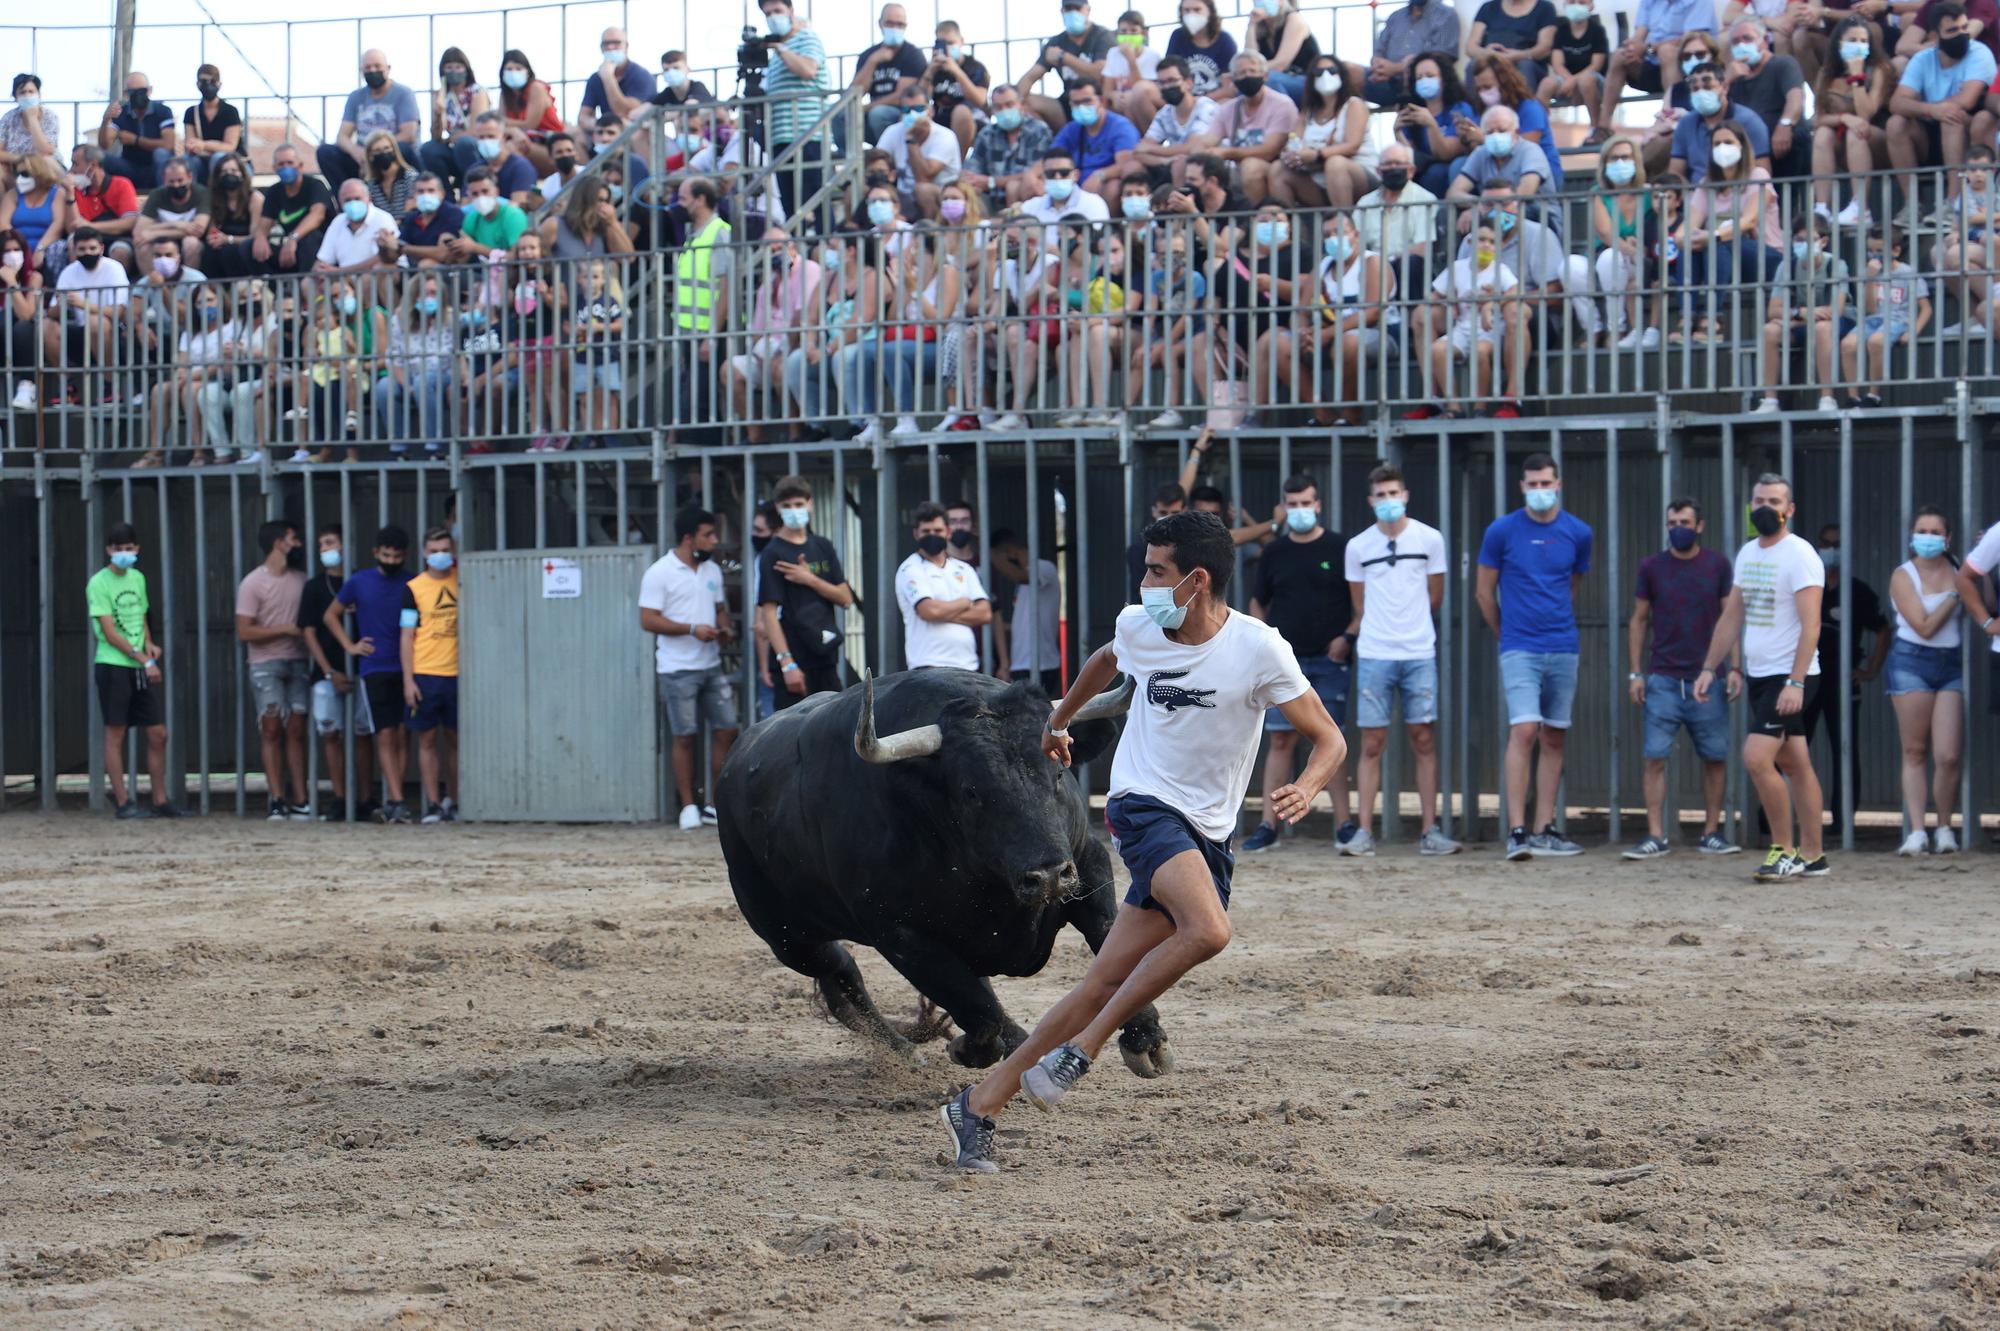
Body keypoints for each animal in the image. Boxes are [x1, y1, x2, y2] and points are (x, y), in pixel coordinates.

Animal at [716, 667, 1168, 1071]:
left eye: (1059, 773)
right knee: (840, 969)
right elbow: (975, 1009)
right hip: (785, 935)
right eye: (972, 791)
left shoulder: (1088, 866)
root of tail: (735, 759)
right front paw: (966, 1048)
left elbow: (1110, 941)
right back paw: (911, 1049)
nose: (1048, 876)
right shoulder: (899, 934)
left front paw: (1145, 1040)